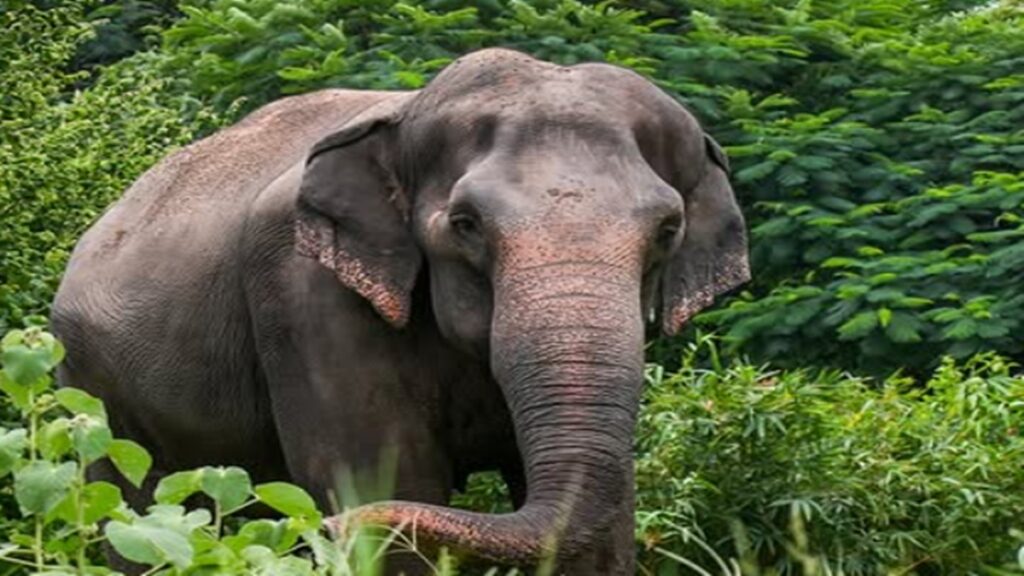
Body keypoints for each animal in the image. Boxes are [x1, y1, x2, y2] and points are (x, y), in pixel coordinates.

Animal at [51, 48, 749, 574]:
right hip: (96, 397)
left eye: (667, 230)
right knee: (140, 514)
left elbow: (603, 518)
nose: (327, 527)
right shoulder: (302, 288)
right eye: (465, 224)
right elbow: (387, 480)